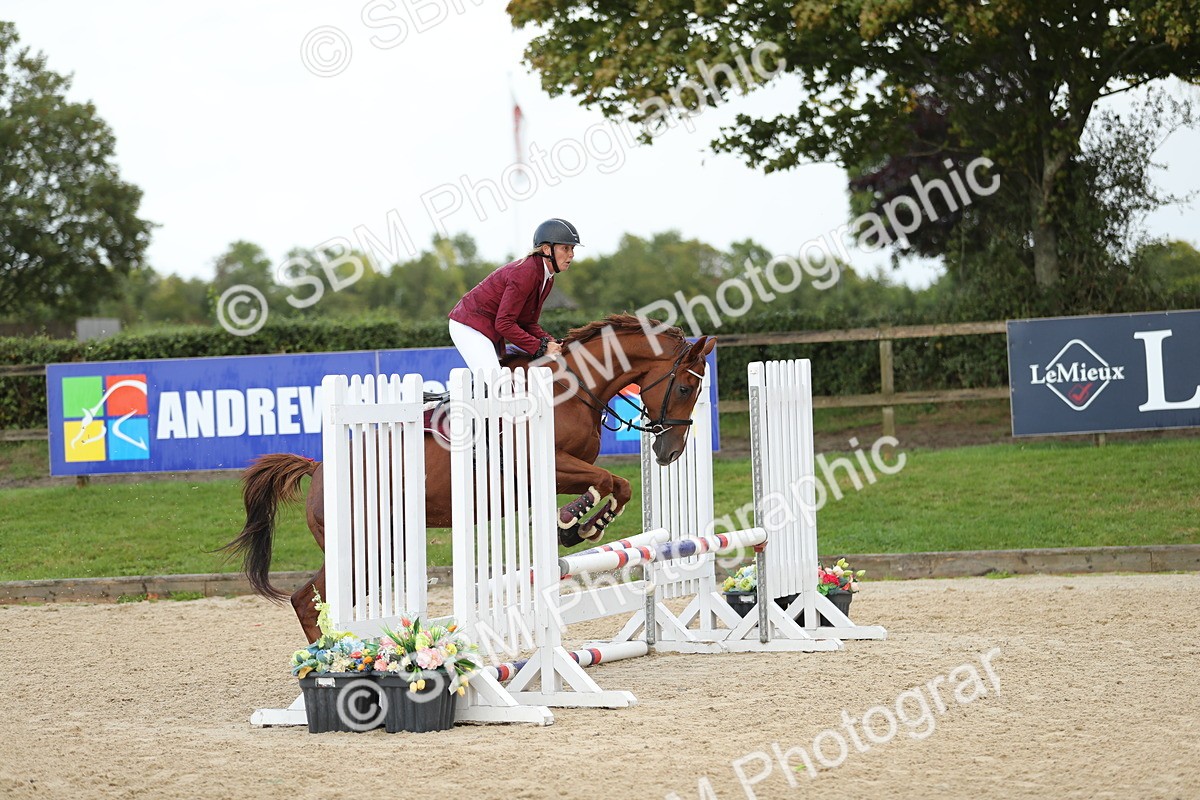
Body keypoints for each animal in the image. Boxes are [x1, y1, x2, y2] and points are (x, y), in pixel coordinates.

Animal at [220, 314, 716, 643]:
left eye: (697, 390)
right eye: (685, 387)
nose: (670, 452)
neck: (573, 388)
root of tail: (319, 467)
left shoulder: (562, 470)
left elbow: (618, 485)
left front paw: (580, 524)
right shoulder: (544, 463)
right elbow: (608, 480)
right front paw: (577, 524)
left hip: (383, 546)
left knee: (308, 599)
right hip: (363, 547)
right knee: (308, 600)